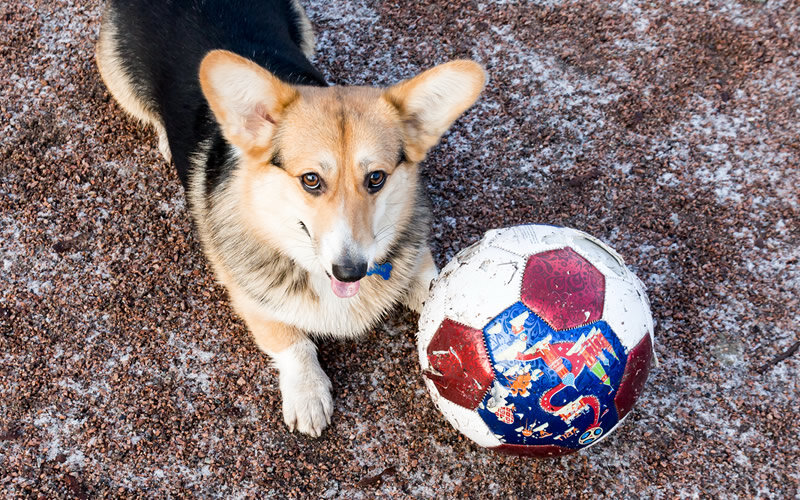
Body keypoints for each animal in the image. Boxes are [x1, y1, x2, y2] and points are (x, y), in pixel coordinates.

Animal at [97, 0, 484, 436]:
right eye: (311, 180)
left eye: (377, 178)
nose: (351, 270)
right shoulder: (250, 298)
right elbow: (290, 340)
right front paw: (308, 395)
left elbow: (434, 282)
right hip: (120, 80)